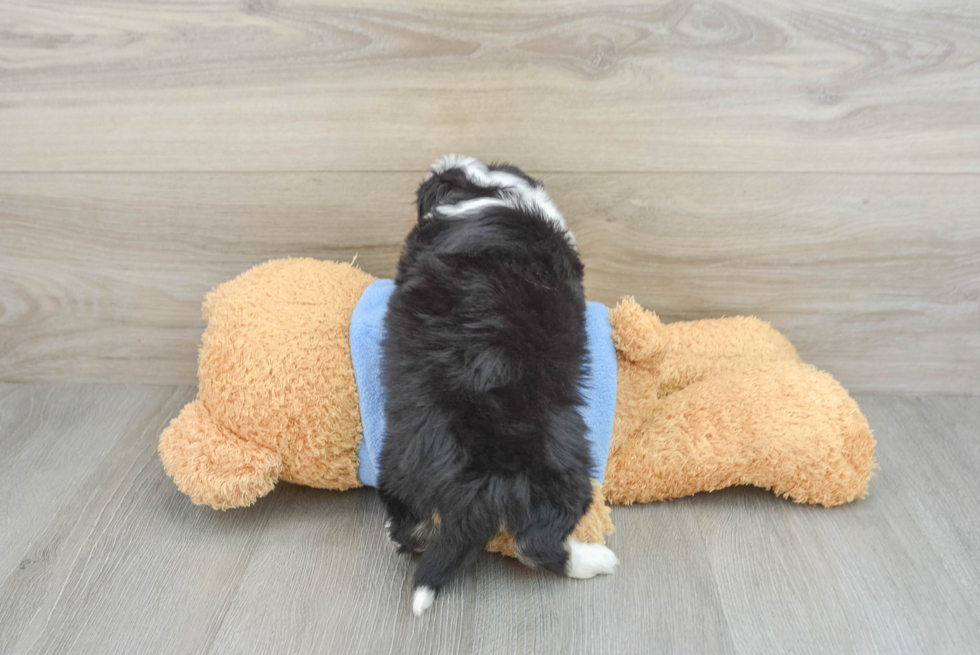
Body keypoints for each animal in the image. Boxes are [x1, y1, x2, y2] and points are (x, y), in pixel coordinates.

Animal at [378, 154, 616, 616]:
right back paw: (598, 560)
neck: (481, 192)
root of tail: (477, 480)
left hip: (399, 459)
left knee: (409, 523)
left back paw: (411, 536)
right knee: (536, 544)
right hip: (564, 465)